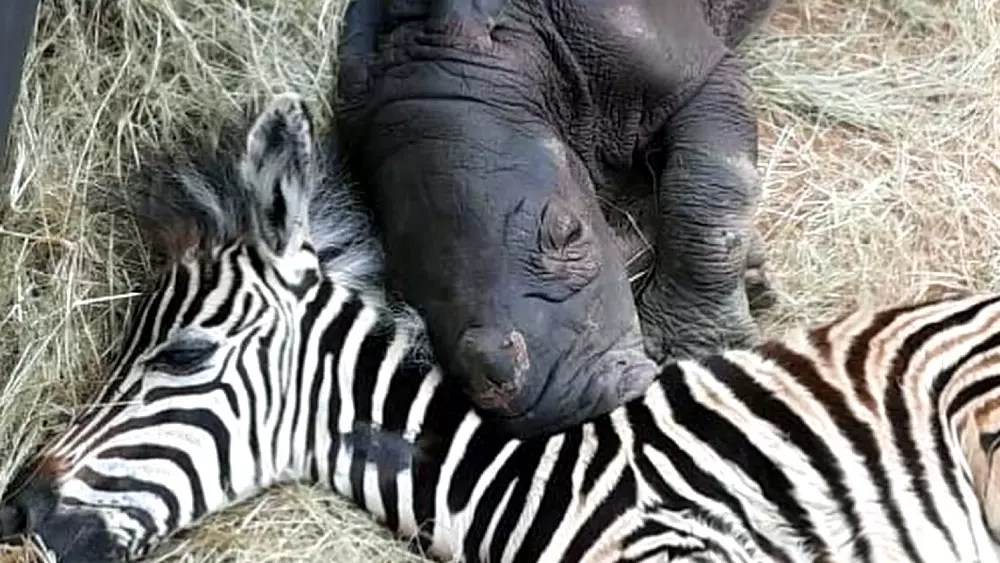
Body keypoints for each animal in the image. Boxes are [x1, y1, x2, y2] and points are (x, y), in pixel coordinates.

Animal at [334, 0, 780, 438]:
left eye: (569, 233)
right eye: (401, 293)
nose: (566, 407)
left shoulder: (697, 74)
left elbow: (711, 187)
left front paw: (695, 350)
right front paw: (754, 276)